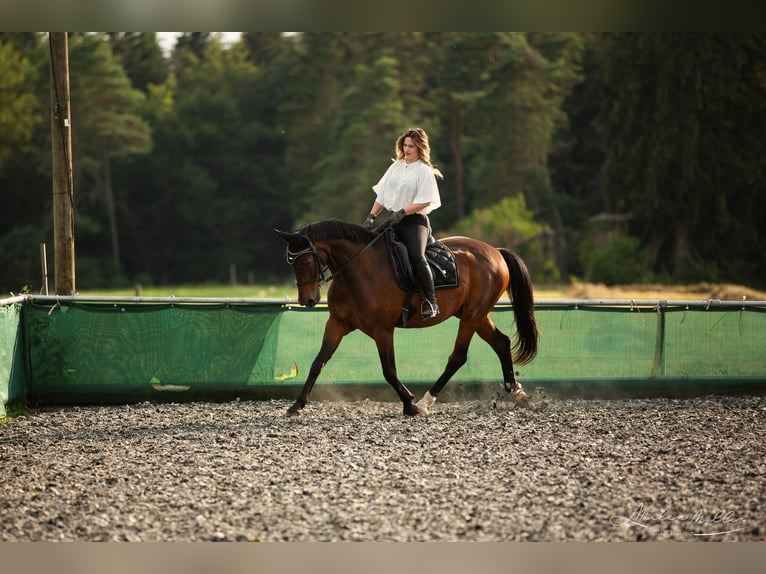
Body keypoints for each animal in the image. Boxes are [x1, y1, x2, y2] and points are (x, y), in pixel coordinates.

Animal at [274, 219, 539, 416]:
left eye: (306, 260)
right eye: (292, 263)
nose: (307, 300)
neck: (358, 271)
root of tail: (496, 252)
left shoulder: (382, 330)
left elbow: (389, 370)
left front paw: (410, 404)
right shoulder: (337, 324)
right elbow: (318, 363)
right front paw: (297, 405)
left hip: (472, 317)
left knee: (458, 357)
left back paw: (426, 401)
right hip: (477, 316)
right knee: (501, 343)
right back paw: (516, 393)